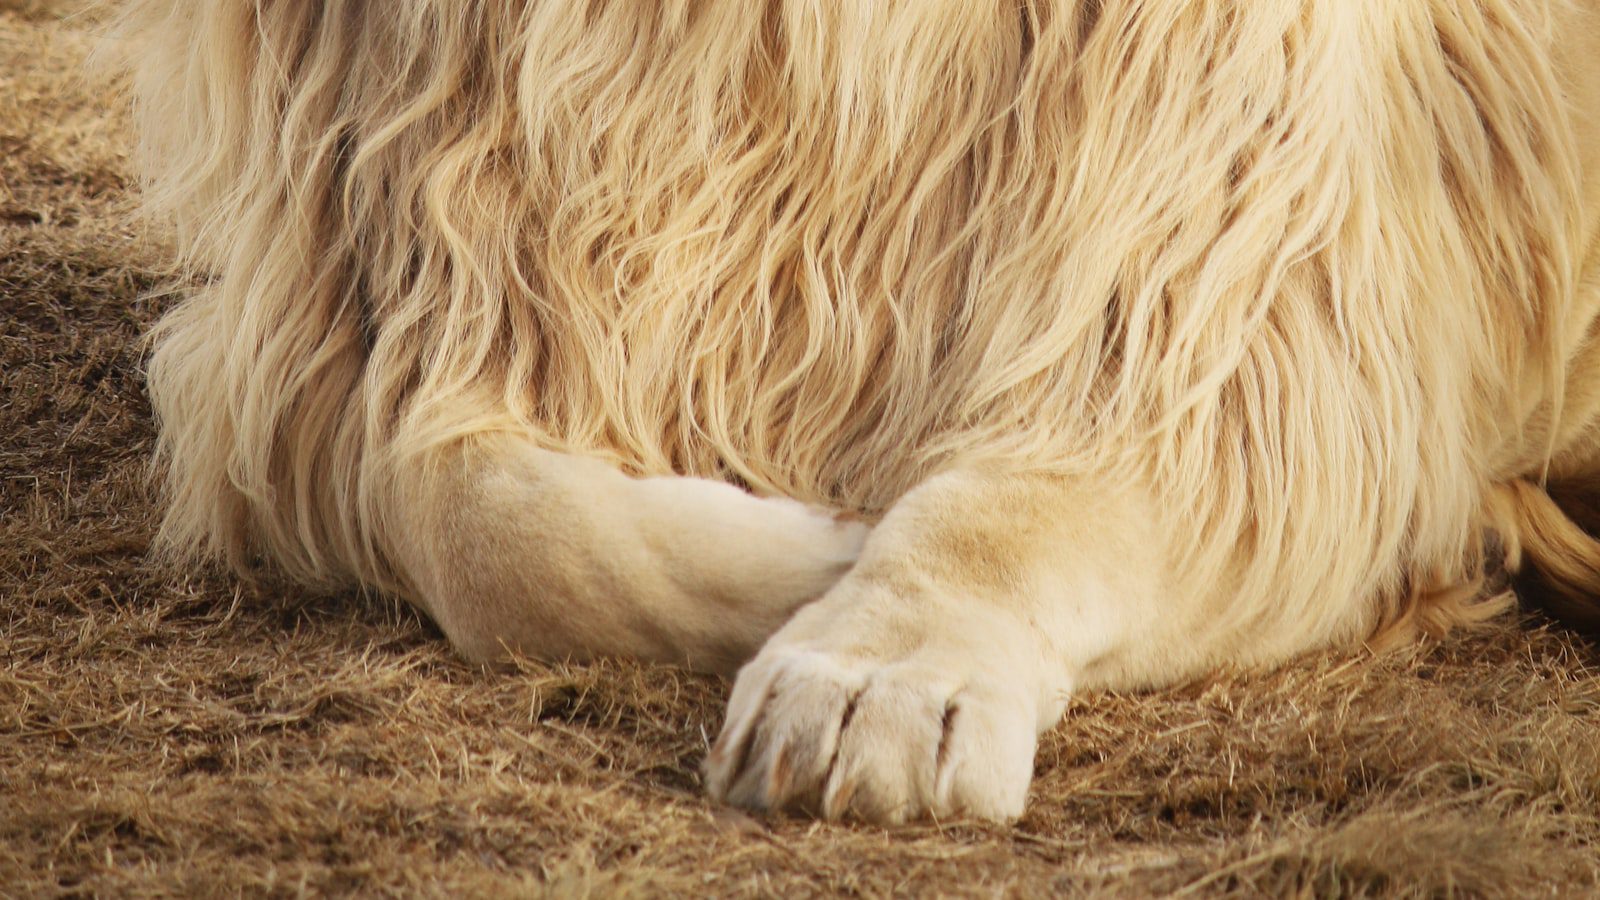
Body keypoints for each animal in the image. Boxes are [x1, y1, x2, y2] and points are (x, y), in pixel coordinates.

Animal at [118, 0, 1600, 826]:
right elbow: (485, 530)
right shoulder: (373, 324)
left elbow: (1004, 512)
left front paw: (875, 678)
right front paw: (813, 549)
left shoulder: (1254, 363)